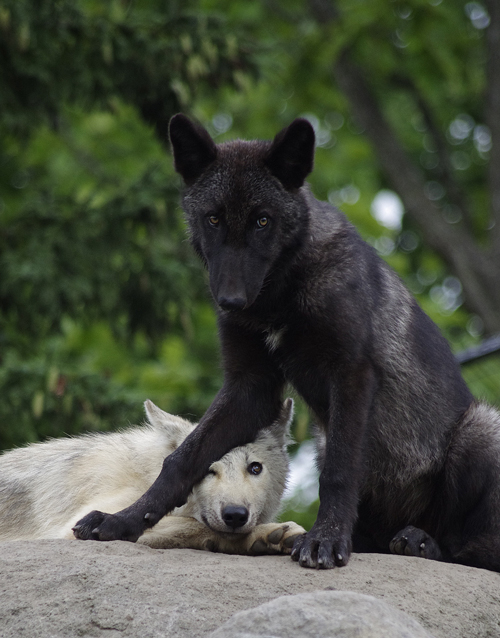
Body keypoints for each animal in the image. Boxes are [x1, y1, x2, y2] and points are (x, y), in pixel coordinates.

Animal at [0, 400, 302, 556]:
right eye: (207, 471)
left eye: (255, 468)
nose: (235, 515)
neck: (148, 477)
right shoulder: (72, 531)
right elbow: (195, 526)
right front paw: (270, 534)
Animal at [73, 116, 500, 576]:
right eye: (213, 219)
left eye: (263, 220)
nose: (231, 302)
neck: (279, 299)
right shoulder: (251, 386)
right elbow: (181, 460)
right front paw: (123, 521)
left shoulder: (352, 374)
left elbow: (339, 473)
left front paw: (326, 539)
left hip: (479, 428)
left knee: (475, 551)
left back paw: (422, 542)